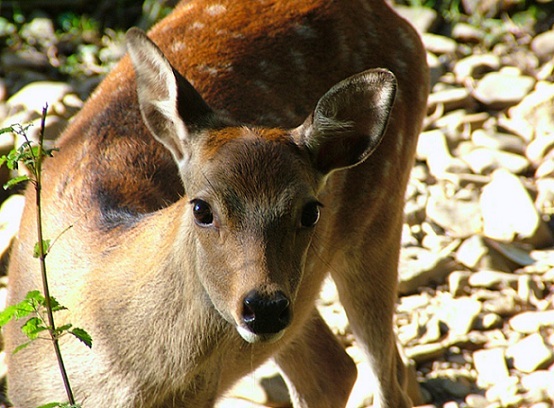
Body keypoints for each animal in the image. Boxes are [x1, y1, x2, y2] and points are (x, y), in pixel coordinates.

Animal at [4, 0, 426, 408]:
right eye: (201, 209)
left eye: (310, 211)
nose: (264, 307)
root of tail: (395, 18)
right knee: (339, 370)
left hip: (379, 216)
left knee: (385, 382)